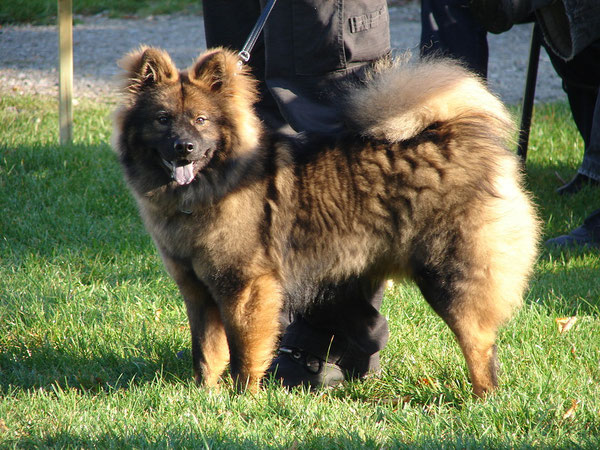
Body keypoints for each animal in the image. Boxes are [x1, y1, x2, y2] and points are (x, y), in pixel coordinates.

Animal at [112, 47, 540, 396]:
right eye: (163, 119)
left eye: (201, 120)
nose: (184, 148)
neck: (208, 189)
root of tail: (452, 133)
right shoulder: (198, 290)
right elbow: (207, 352)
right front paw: (205, 394)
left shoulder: (245, 287)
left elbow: (244, 352)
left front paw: (243, 397)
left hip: (448, 278)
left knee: (480, 344)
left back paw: (483, 398)